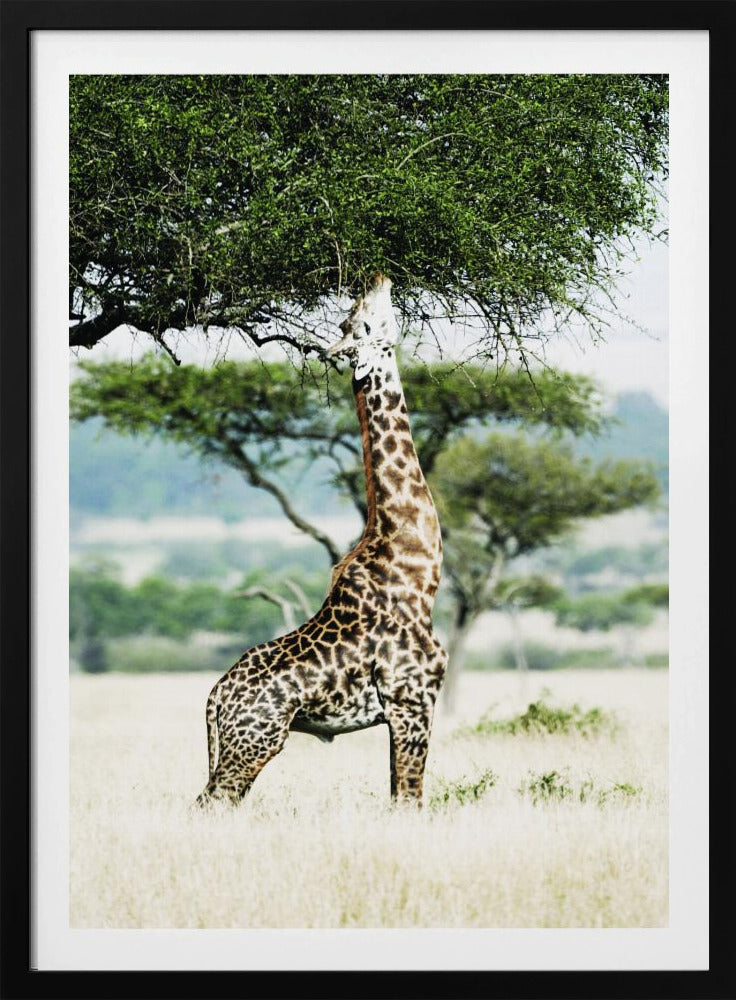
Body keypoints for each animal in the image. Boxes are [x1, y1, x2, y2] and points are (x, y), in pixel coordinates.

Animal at [196, 274, 447, 807]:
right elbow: (411, 800)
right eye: (362, 321)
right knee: (210, 803)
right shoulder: (413, 699)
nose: (378, 277)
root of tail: (216, 697)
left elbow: (398, 796)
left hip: (240, 743)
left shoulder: (402, 710)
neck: (418, 572)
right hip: (256, 741)